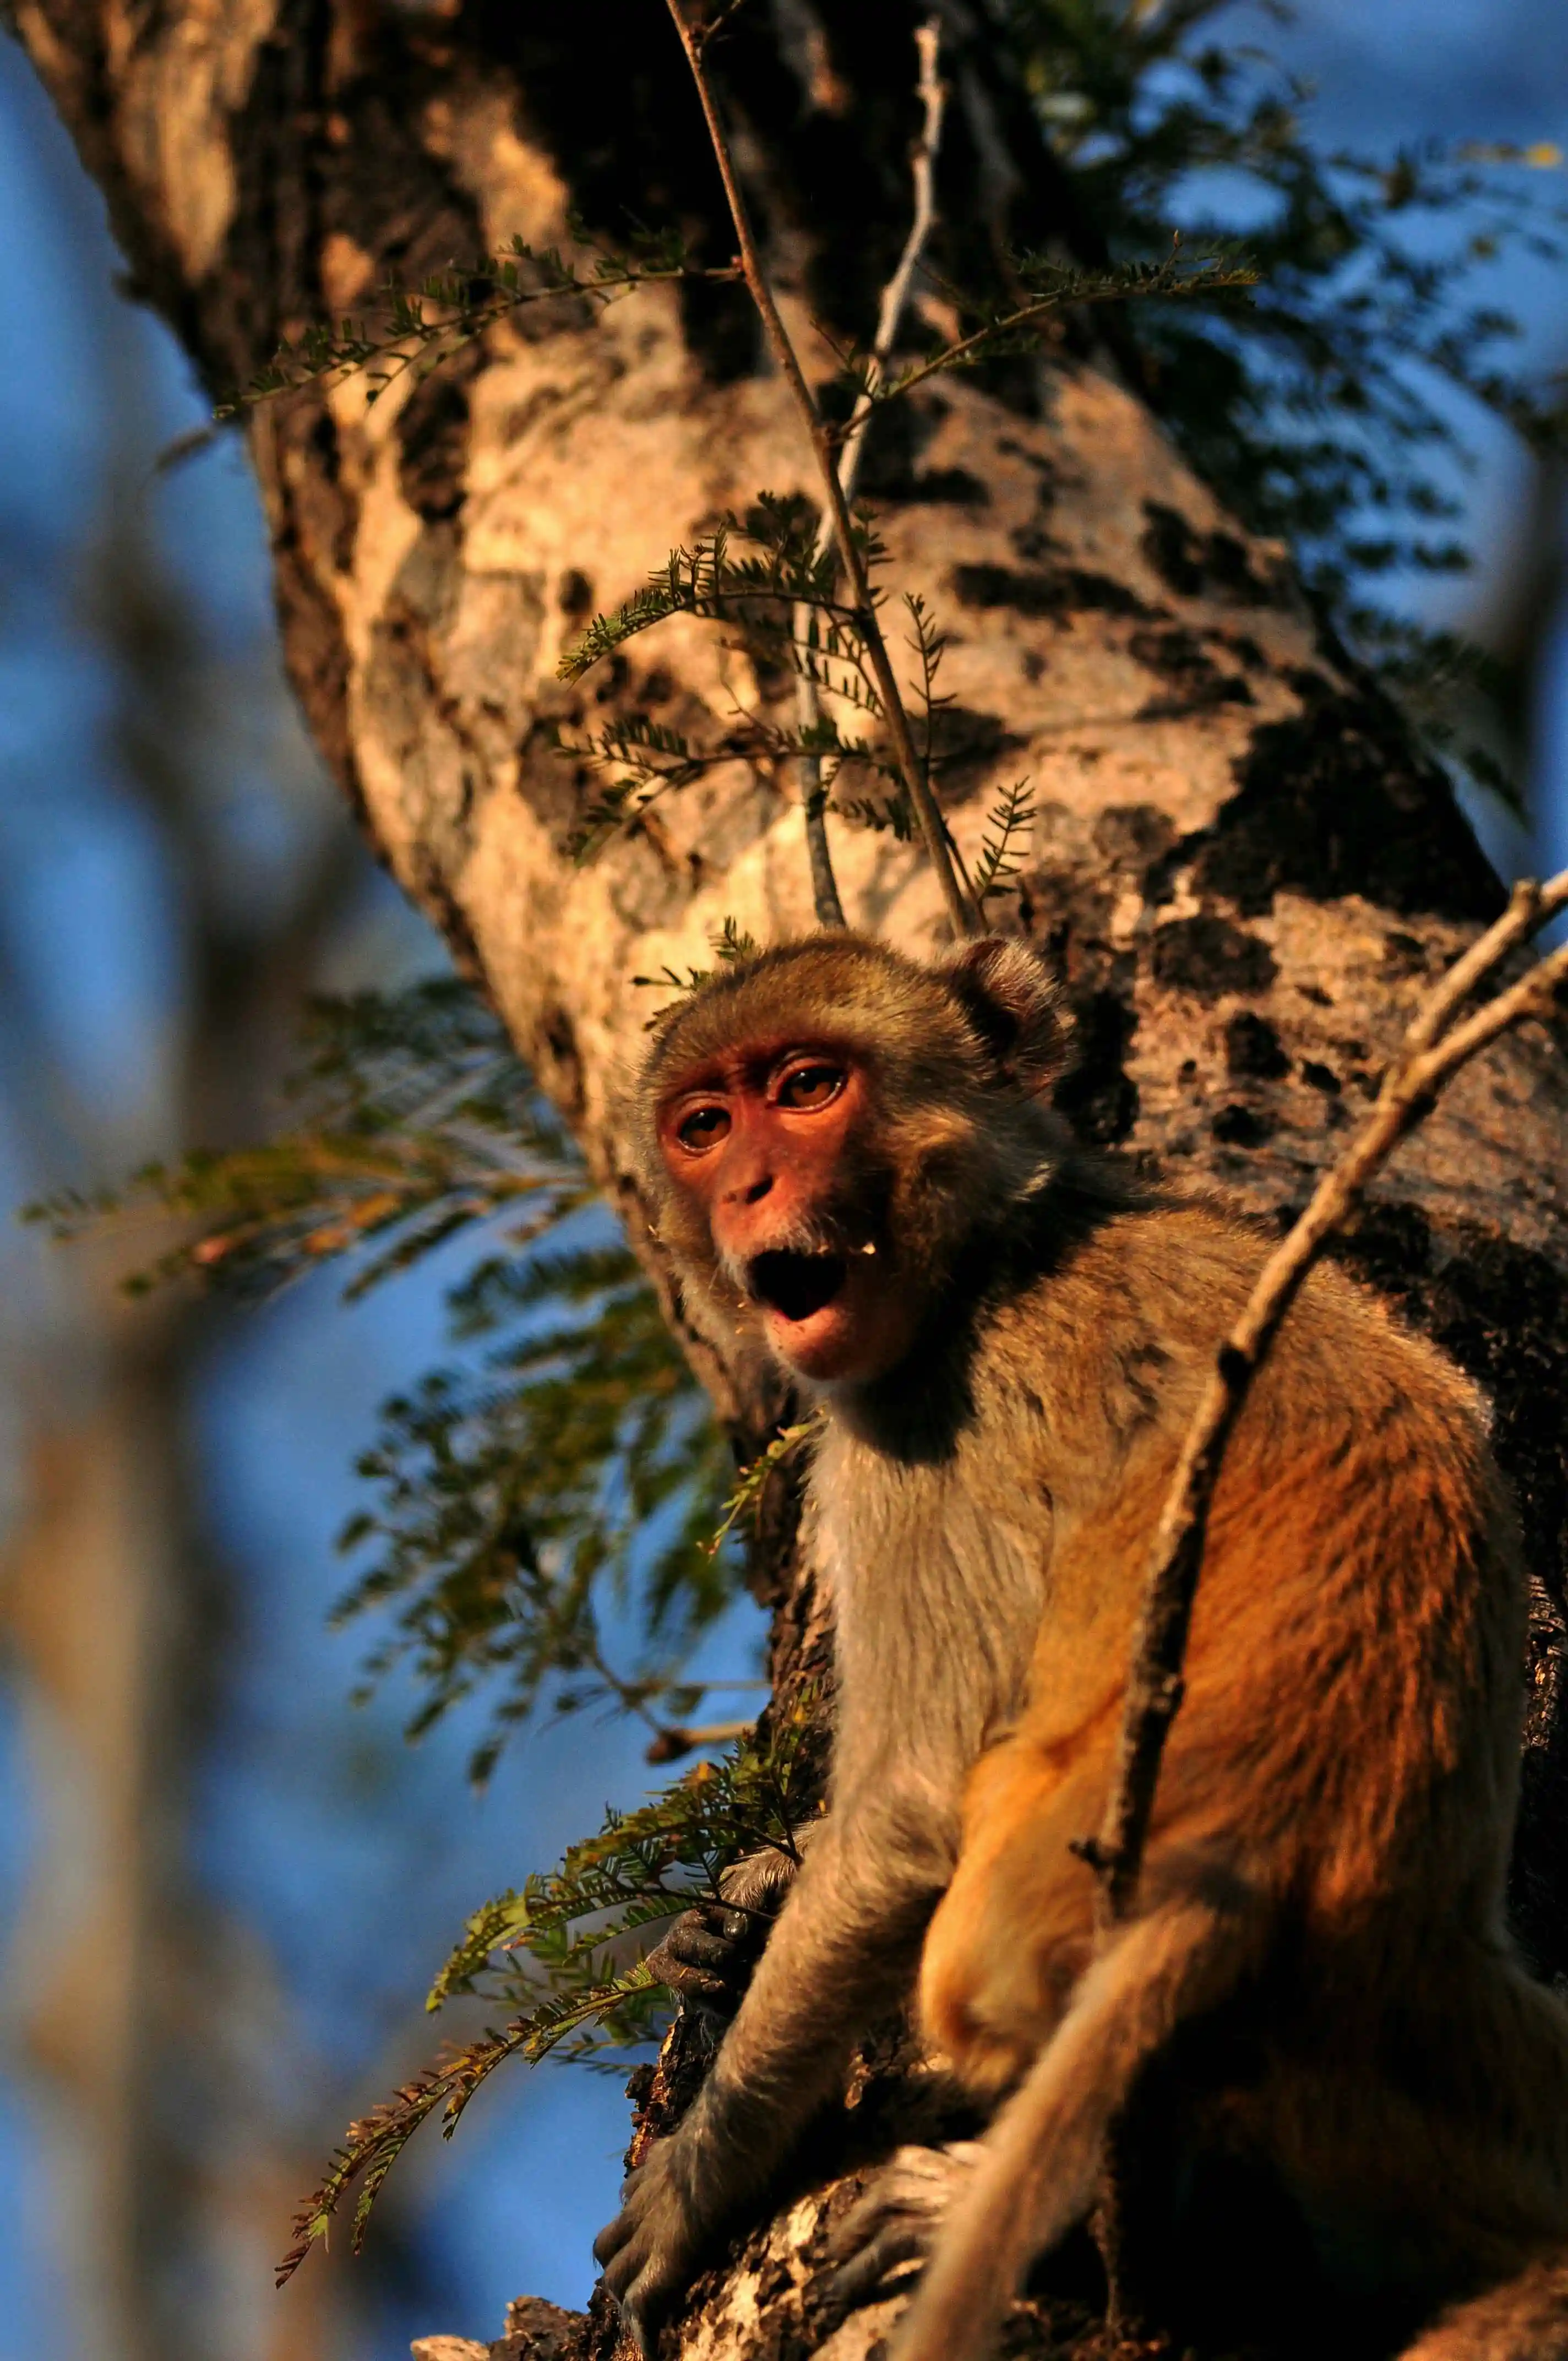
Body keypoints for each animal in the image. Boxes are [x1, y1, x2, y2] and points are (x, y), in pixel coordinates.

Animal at [592, 928, 1568, 2361]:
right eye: (704, 1125)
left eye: (808, 1085)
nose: (751, 1182)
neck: (999, 1245)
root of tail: (1269, 1853)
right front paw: (739, 1907)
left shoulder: (917, 1438)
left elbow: (903, 1820)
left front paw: (698, 2174)